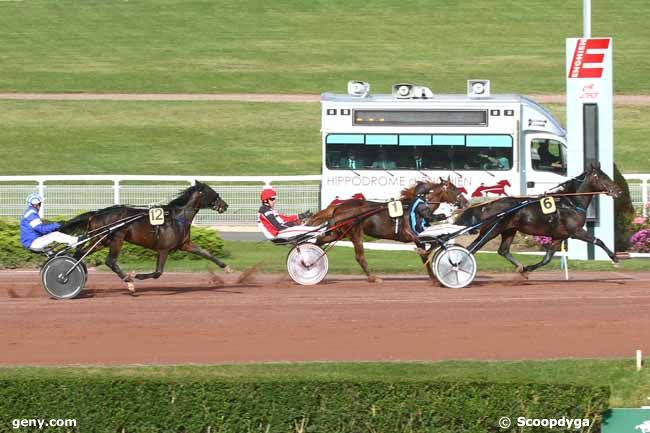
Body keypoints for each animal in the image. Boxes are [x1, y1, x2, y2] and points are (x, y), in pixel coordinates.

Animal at [58, 181, 230, 292]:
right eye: (213, 192)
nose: (225, 205)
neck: (177, 218)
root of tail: (96, 213)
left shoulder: (185, 244)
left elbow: (206, 253)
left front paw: (226, 268)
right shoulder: (164, 249)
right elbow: (158, 273)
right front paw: (136, 275)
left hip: (100, 240)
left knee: (80, 253)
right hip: (116, 239)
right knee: (110, 261)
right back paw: (128, 282)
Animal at [454, 164, 620, 276]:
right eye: (603, 177)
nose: (618, 191)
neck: (571, 203)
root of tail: (487, 205)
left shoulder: (559, 236)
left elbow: (547, 258)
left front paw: (527, 269)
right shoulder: (576, 231)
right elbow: (598, 241)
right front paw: (614, 257)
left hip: (509, 230)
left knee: (503, 250)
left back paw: (520, 267)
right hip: (491, 230)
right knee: (471, 248)